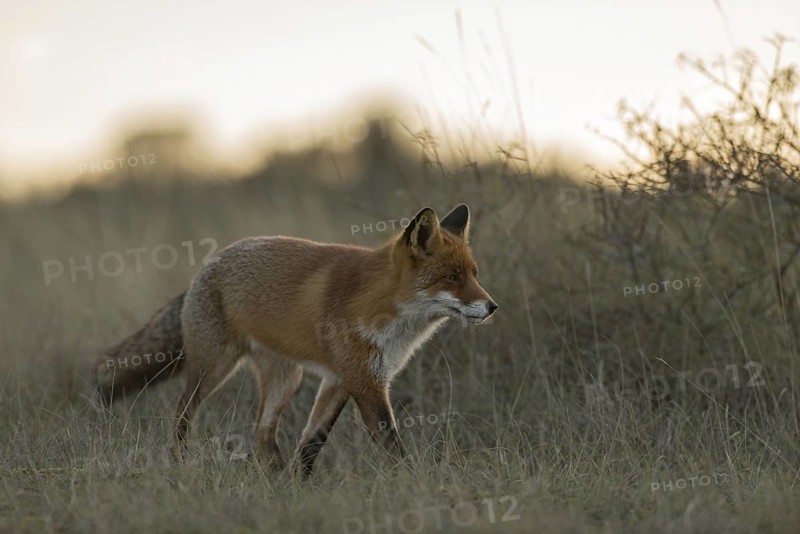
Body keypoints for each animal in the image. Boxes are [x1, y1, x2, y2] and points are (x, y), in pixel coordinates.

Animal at [94, 204, 497, 474]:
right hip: (211, 369)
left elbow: (311, 443)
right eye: (452, 278)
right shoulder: (364, 381)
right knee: (179, 417)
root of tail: (208, 264)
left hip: (287, 380)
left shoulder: (341, 379)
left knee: (261, 434)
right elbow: (390, 443)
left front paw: (296, 487)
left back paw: (273, 480)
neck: (385, 310)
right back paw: (180, 466)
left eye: (475, 274)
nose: (493, 307)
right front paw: (412, 483)